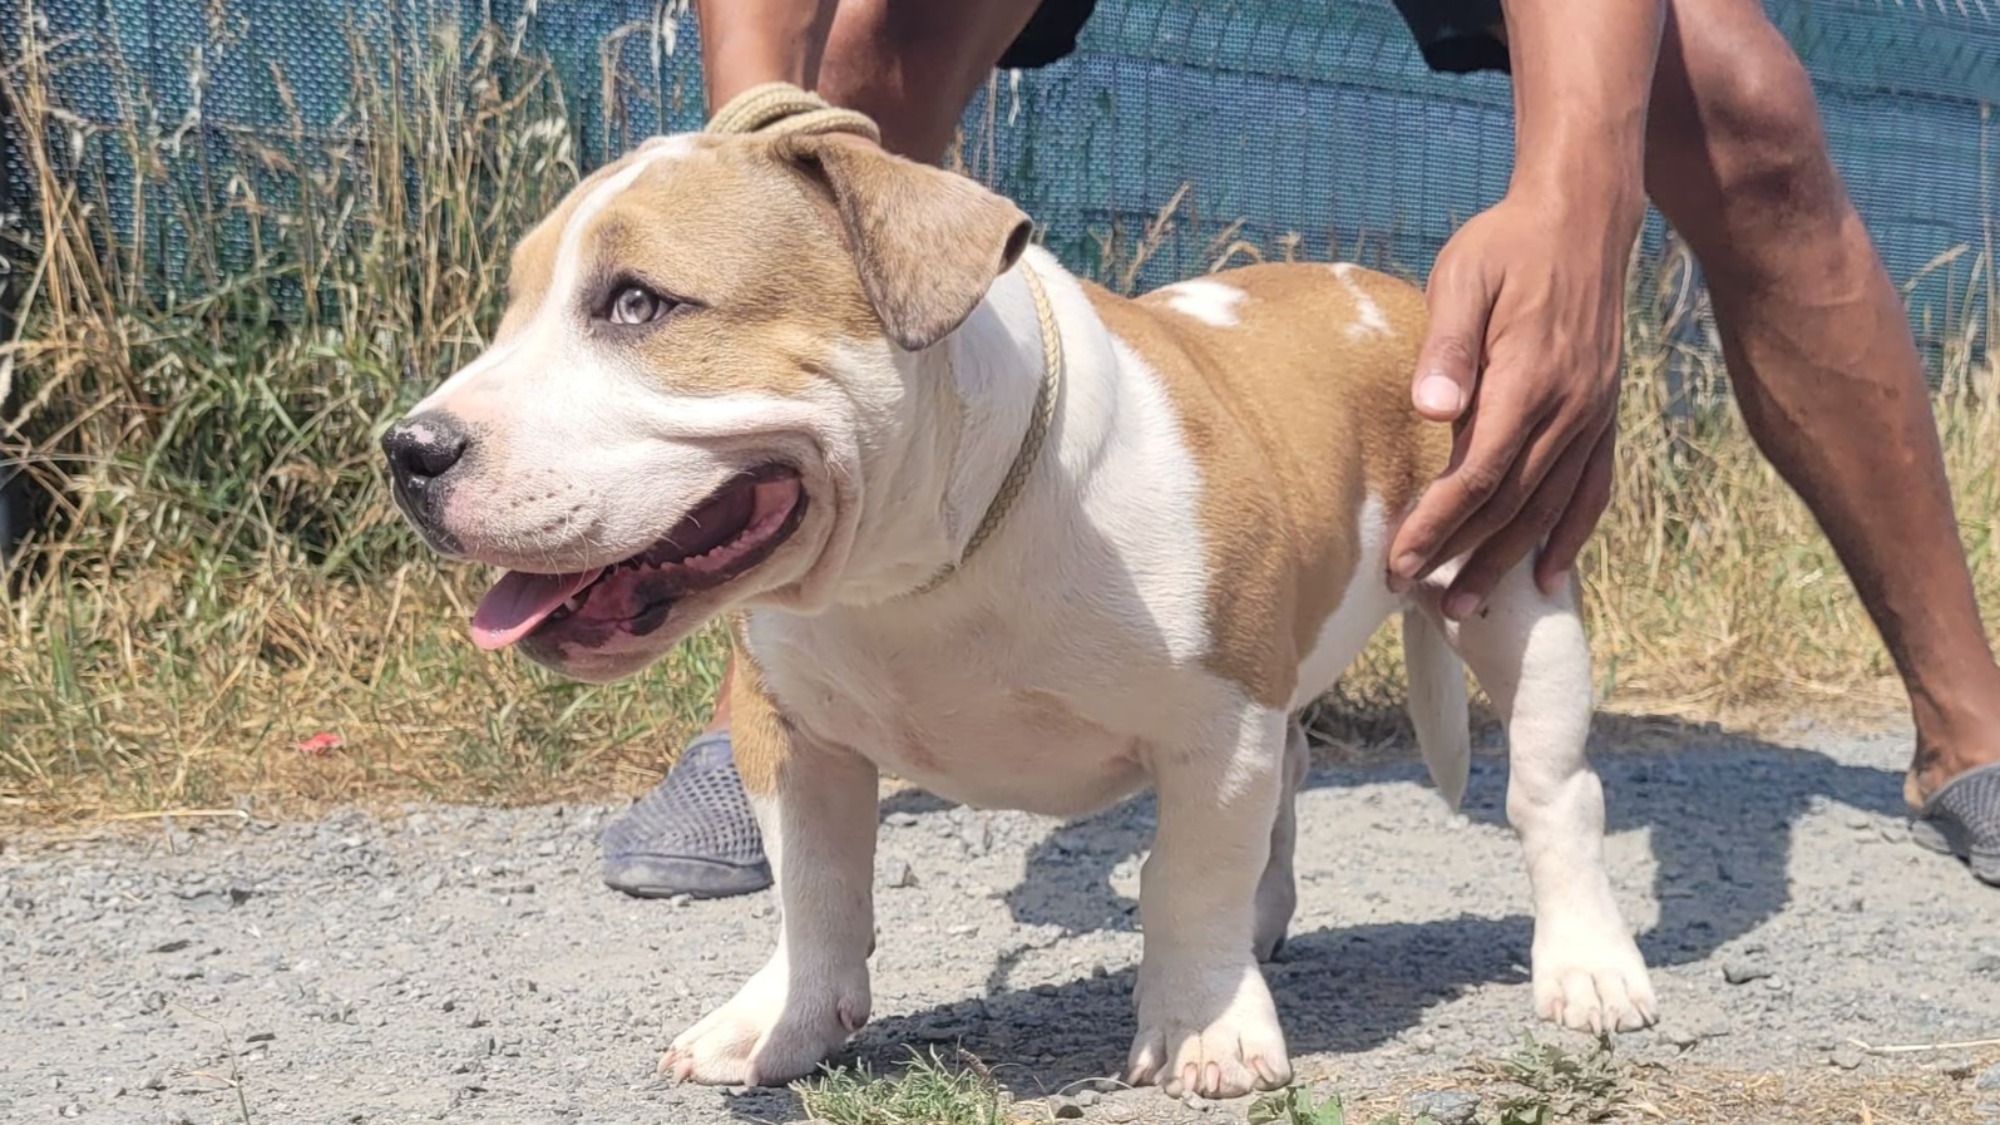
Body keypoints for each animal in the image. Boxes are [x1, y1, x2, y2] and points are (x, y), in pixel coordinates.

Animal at [386, 129, 1656, 1096]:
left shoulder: (1213, 726)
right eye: (511, 312)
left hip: (1512, 590)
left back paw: (1585, 968)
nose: (408, 450)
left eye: (639, 304)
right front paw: (781, 1018)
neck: (922, 562)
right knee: (1288, 784)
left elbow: (1184, 878)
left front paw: (1202, 1023)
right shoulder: (792, 735)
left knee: (1552, 791)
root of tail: (1391, 292)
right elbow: (814, 888)